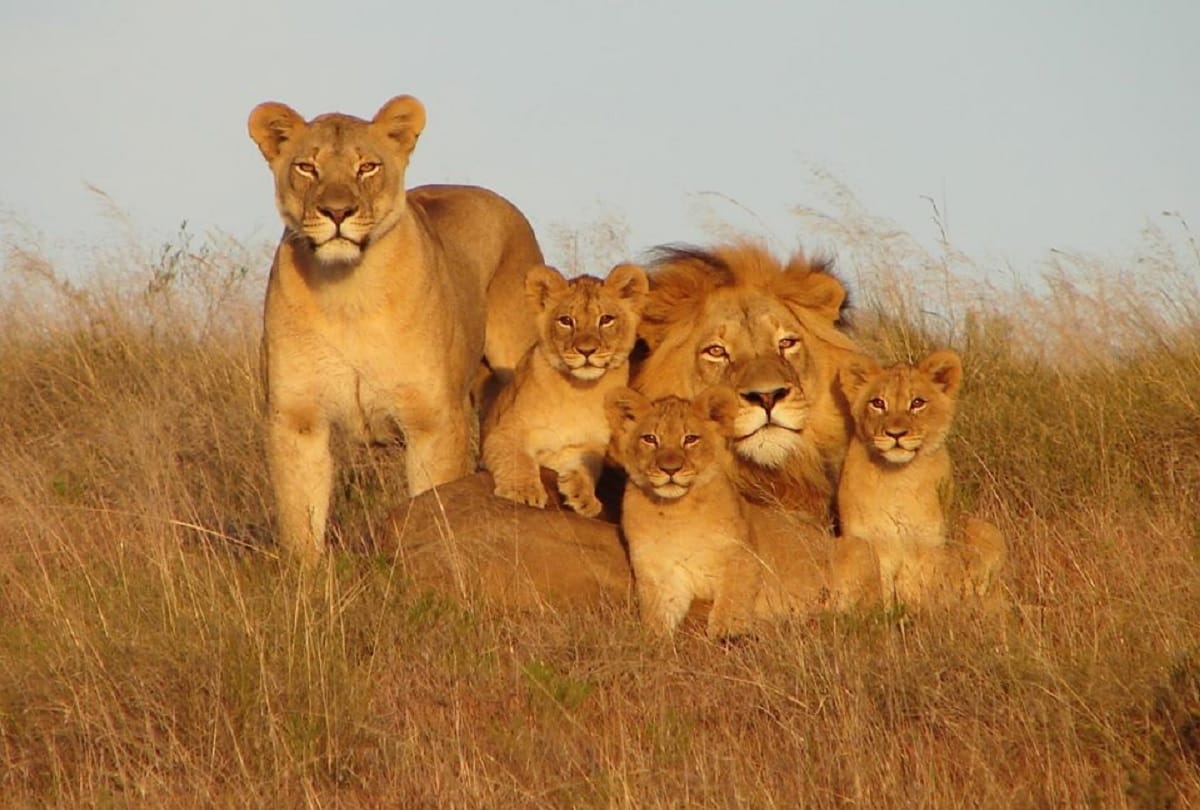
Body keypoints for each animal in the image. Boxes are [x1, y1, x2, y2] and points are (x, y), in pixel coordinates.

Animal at [247, 95, 544, 562]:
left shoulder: (434, 422)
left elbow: (434, 502)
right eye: (307, 167)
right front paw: (304, 576)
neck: (348, 293)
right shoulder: (296, 417)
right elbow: (300, 516)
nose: (337, 212)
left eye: (367, 167)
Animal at [481, 263, 648, 517]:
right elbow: (517, 459)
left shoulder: (583, 446)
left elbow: (586, 468)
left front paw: (585, 497)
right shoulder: (503, 433)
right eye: (566, 320)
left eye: (606, 319)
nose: (586, 350)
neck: (579, 391)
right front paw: (524, 491)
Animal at [606, 386, 880, 637]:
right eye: (650, 439)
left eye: (691, 439)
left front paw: (728, 635)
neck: (676, 513)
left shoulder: (741, 556)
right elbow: (657, 618)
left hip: (859, 547)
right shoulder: (659, 576)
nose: (670, 469)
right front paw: (652, 639)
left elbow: (732, 601)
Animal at [837, 350, 1007, 607]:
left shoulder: (928, 544)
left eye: (917, 403)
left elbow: (921, 588)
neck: (898, 477)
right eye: (878, 403)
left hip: (987, 529)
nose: (896, 434)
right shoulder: (867, 540)